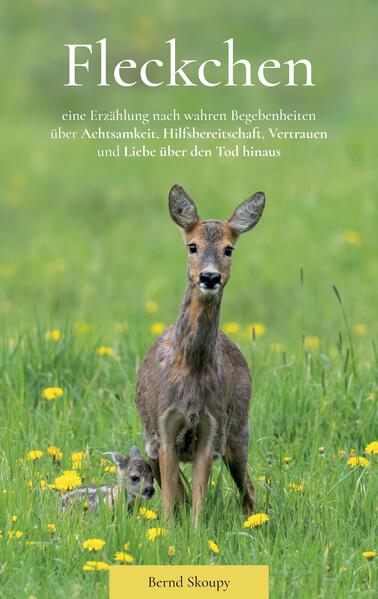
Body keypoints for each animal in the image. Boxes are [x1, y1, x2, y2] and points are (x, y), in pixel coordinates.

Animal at [137, 186, 266, 524]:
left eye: (229, 249)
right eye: (192, 246)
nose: (209, 277)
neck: (190, 369)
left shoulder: (212, 429)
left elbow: (198, 500)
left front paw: (195, 532)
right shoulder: (164, 428)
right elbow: (171, 500)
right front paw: (169, 531)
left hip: (238, 429)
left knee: (248, 487)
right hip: (150, 439)